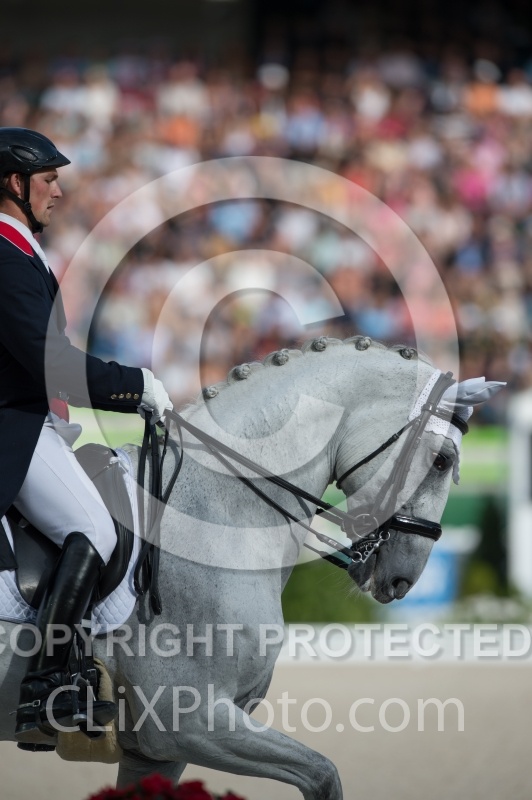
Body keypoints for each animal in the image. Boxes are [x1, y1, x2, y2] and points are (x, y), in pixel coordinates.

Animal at [0, 336, 501, 799]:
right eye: (443, 461)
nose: (403, 578)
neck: (217, 512)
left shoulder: (156, 752)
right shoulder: (189, 723)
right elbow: (323, 774)